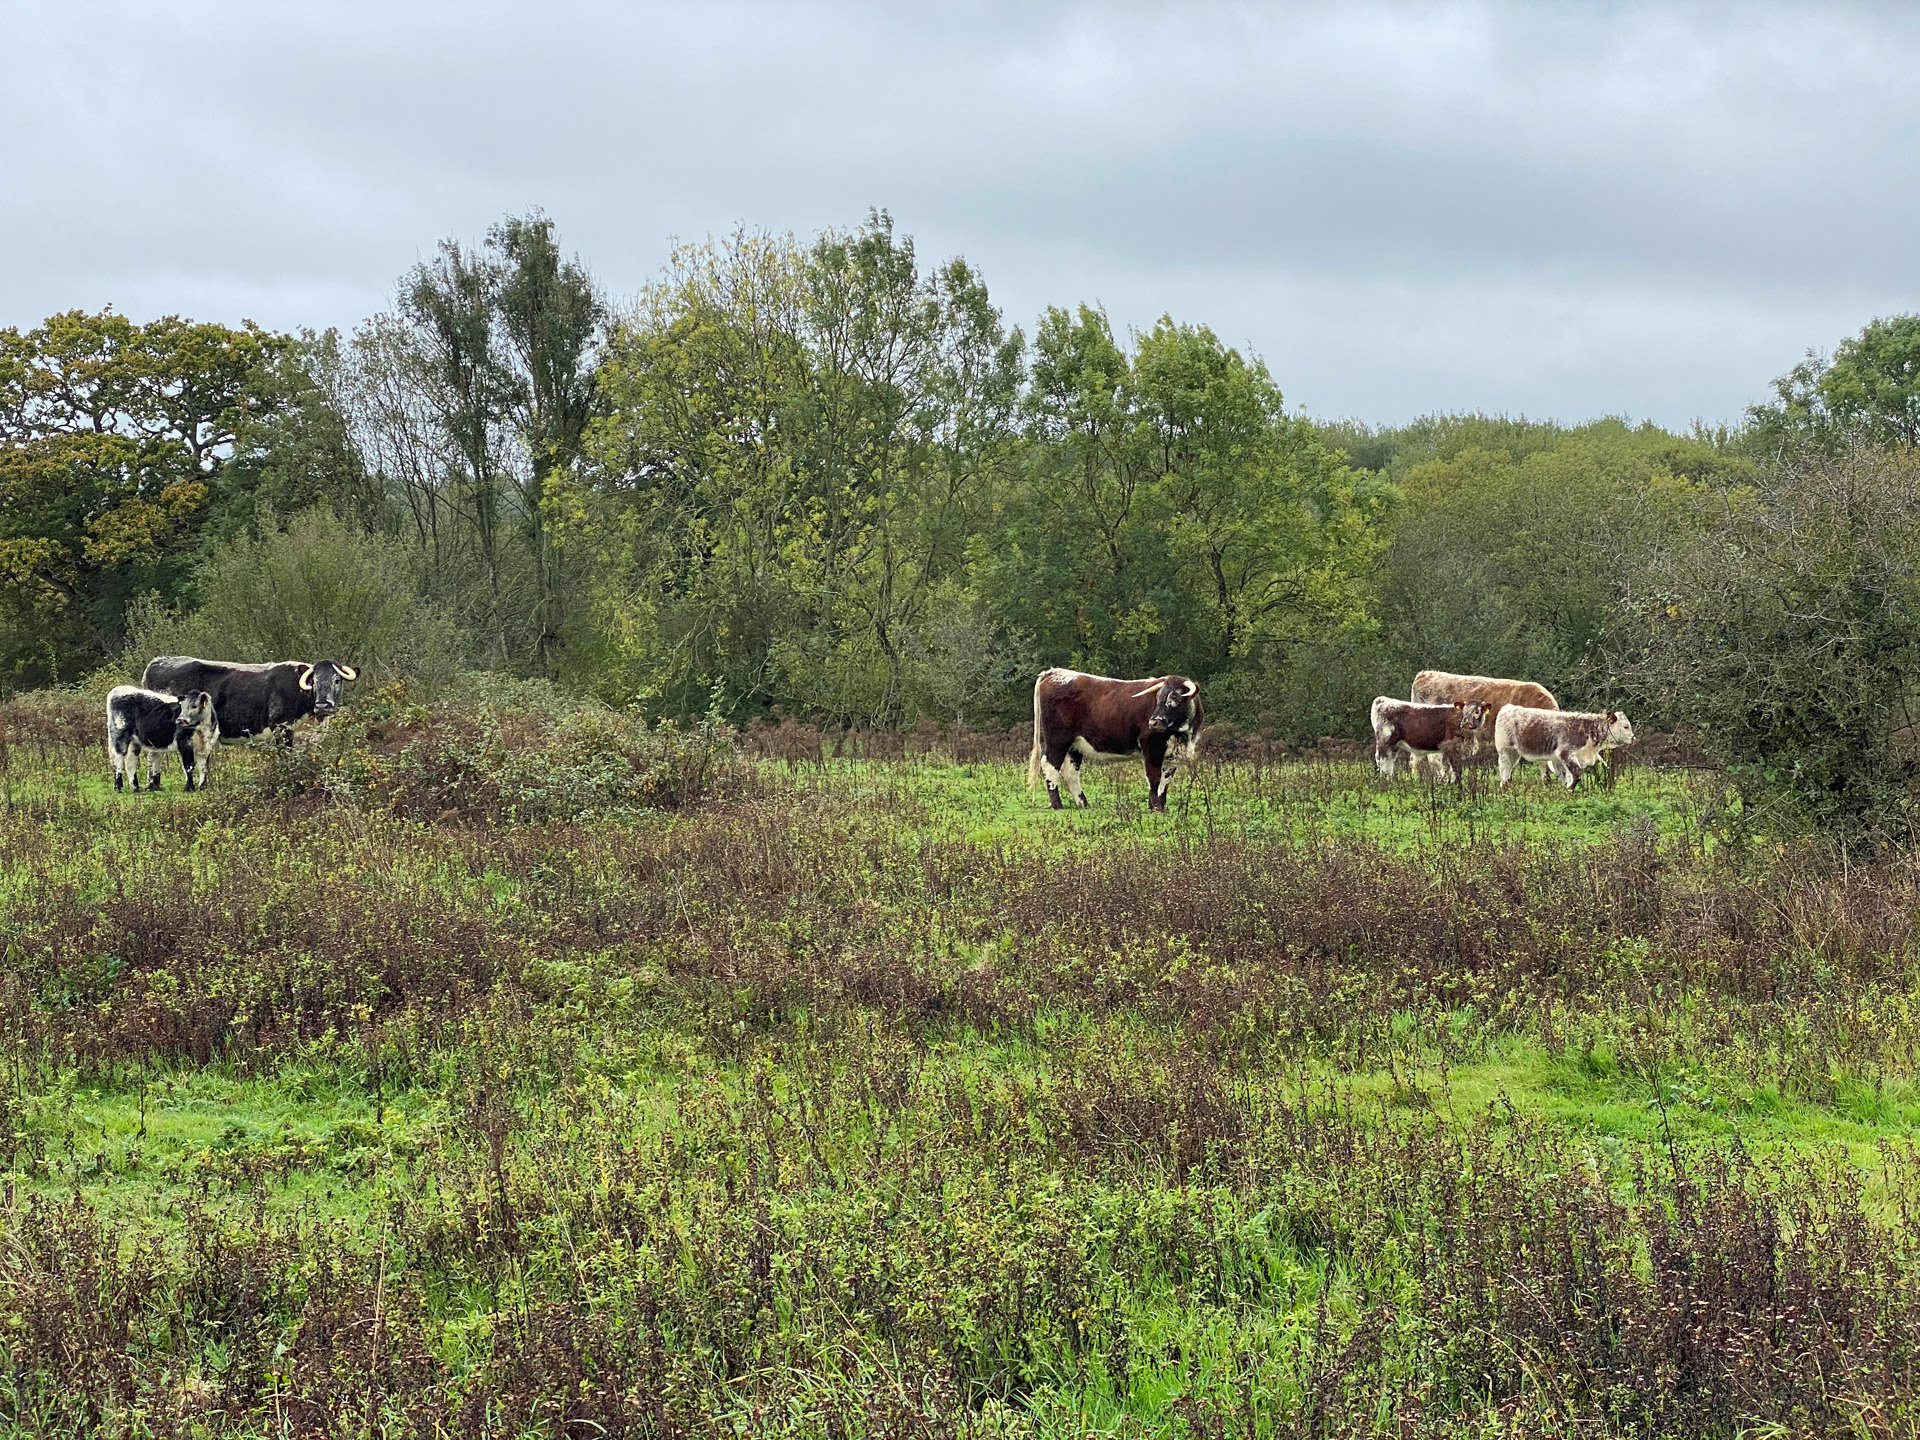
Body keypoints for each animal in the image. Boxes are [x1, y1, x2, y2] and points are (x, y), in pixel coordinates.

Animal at [1021, 675, 1198, 817]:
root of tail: (1053, 672)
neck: (1182, 734)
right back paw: (1057, 804)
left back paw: (1083, 803)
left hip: (1074, 745)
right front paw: (1155, 807)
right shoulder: (1151, 746)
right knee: (1050, 765)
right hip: (1057, 740)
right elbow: (1154, 777)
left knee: (1071, 772)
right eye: (1158, 698)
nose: (1154, 722)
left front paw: (1160, 805)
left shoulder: (1171, 756)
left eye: (1175, 698)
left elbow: (1165, 779)